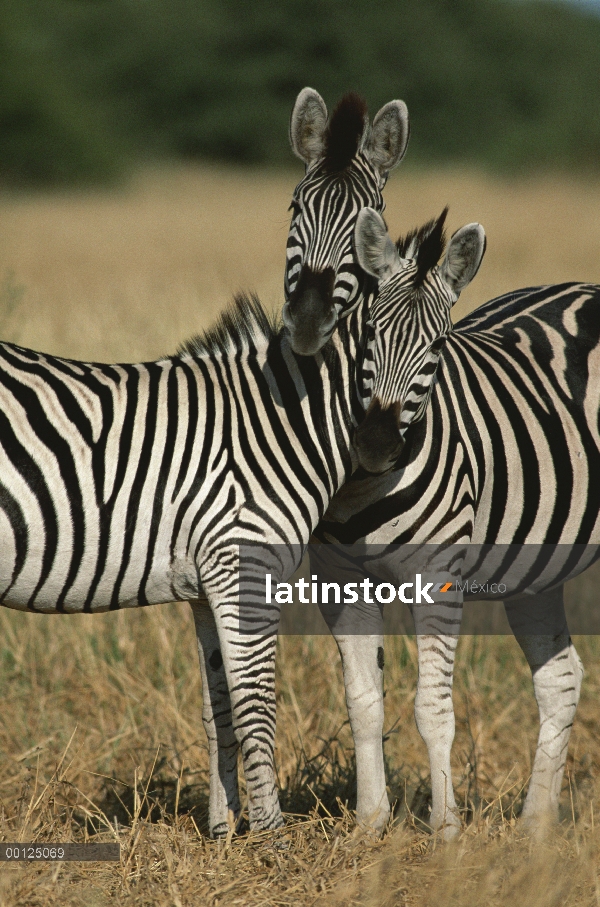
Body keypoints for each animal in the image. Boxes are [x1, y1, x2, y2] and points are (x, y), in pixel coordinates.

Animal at [0, 211, 482, 836]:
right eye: (372, 335)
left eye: (439, 345)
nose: (376, 444)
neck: (275, 427)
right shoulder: (243, 567)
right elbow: (256, 704)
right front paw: (272, 835)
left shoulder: (207, 582)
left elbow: (220, 709)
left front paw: (225, 832)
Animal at [284, 90, 596, 836]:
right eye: (295, 209)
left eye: (437, 348)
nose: (307, 320)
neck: (359, 483)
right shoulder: (339, 577)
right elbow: (363, 701)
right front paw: (370, 824)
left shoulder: (440, 574)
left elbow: (432, 708)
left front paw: (446, 829)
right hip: (536, 561)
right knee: (561, 676)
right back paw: (534, 828)